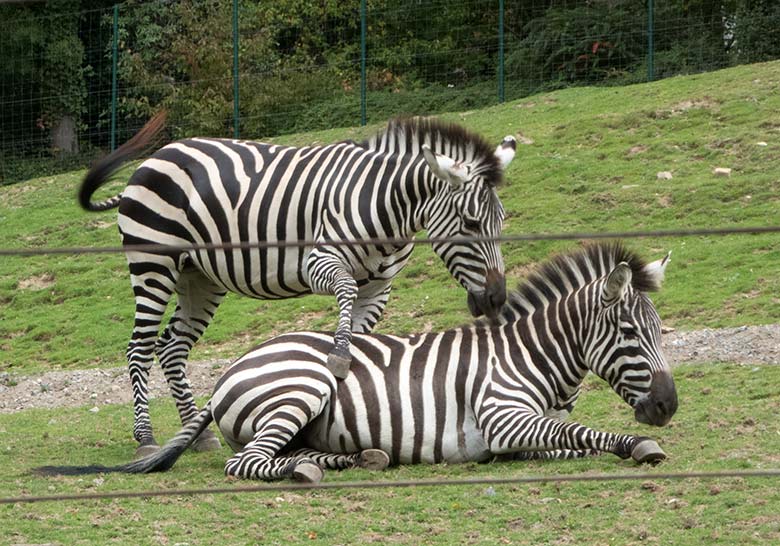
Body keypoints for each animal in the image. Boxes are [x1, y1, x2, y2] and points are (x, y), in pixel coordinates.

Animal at [38, 240, 676, 478]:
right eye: (628, 331)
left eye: (661, 331)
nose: (669, 406)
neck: (530, 355)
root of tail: (231, 368)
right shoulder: (502, 419)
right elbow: (588, 433)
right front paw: (640, 445)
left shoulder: (524, 431)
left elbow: (572, 436)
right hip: (302, 387)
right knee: (248, 462)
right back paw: (310, 471)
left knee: (280, 451)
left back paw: (356, 457)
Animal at [79, 113, 516, 454]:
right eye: (471, 224)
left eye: (500, 221)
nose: (497, 299)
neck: (386, 206)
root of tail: (157, 156)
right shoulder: (319, 262)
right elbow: (345, 294)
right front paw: (337, 357)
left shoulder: (379, 288)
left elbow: (362, 339)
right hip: (153, 263)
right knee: (140, 347)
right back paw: (146, 437)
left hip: (199, 276)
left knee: (172, 347)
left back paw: (196, 436)